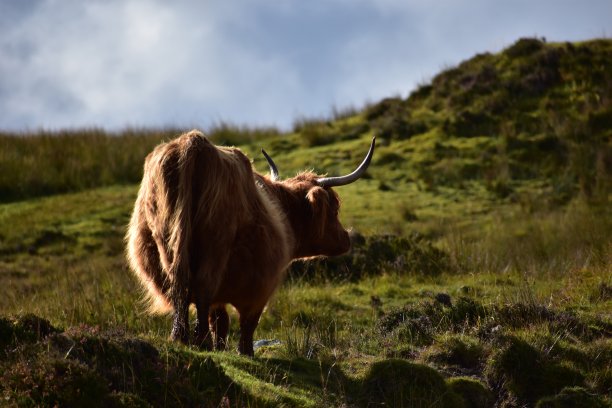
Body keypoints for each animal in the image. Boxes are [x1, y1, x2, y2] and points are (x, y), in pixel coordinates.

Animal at [125, 129, 372, 356]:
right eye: (335, 208)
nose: (346, 238)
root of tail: (193, 143)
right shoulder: (262, 284)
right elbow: (247, 321)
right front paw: (245, 352)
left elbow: (220, 319)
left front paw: (221, 347)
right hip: (216, 244)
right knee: (202, 287)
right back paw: (200, 341)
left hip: (166, 240)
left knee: (180, 286)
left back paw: (181, 337)